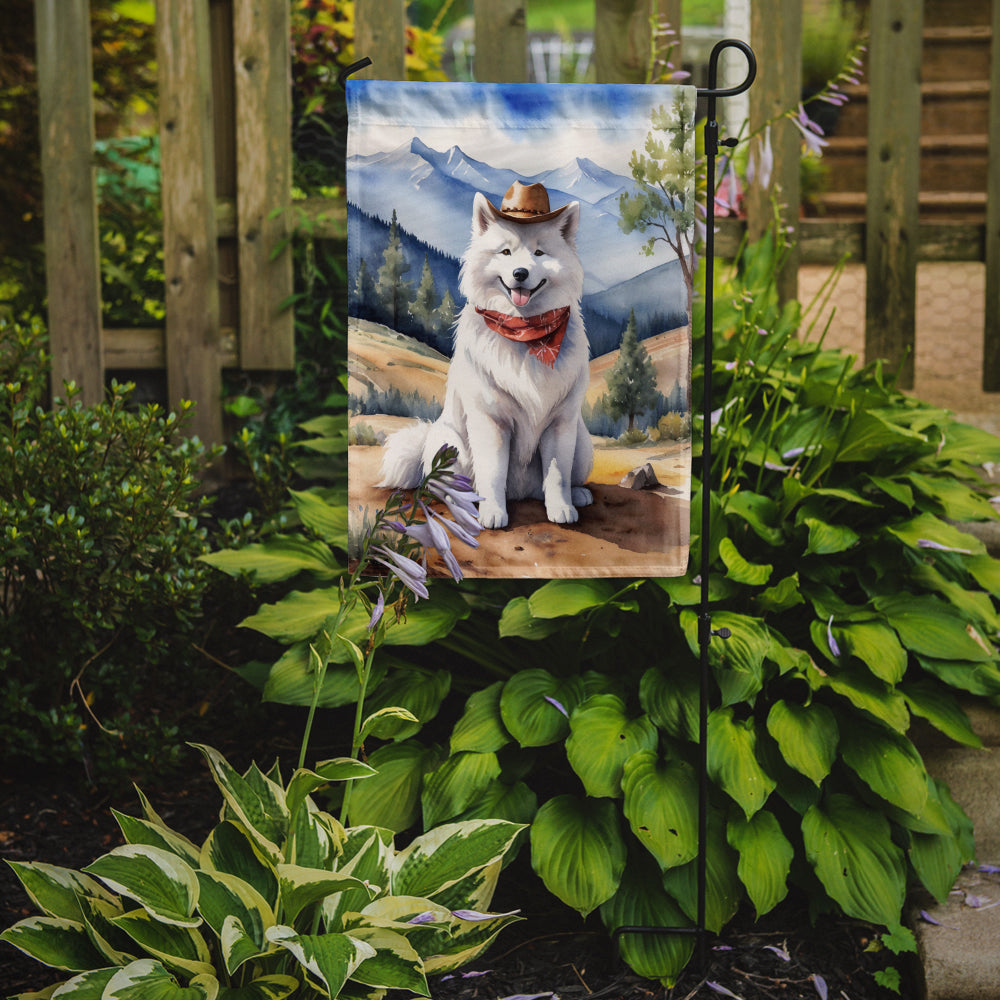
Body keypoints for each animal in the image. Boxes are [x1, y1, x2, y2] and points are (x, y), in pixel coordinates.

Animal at [376, 182, 592, 532]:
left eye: (539, 253)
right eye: (505, 252)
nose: (520, 273)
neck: (526, 335)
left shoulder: (560, 423)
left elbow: (557, 473)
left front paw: (561, 509)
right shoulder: (491, 421)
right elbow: (492, 473)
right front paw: (493, 513)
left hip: (583, 444)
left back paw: (579, 495)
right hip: (449, 444)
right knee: (444, 485)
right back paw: (463, 503)